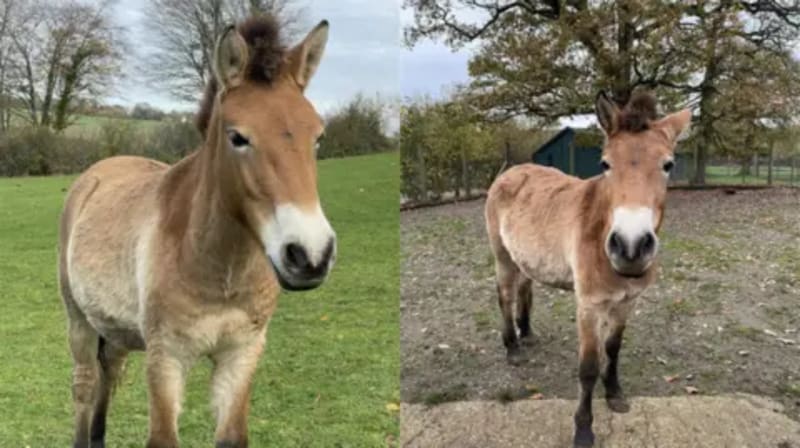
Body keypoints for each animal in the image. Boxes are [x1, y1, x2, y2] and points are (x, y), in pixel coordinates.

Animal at [58, 16, 335, 448]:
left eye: (318, 137)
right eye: (237, 137)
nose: (310, 255)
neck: (218, 268)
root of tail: (97, 173)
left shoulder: (242, 354)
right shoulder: (166, 357)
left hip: (115, 331)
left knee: (109, 379)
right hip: (79, 322)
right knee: (85, 388)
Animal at [484, 91, 691, 447]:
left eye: (668, 165)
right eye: (605, 164)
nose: (631, 247)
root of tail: (511, 171)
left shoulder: (627, 302)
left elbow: (614, 349)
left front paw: (615, 394)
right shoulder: (589, 306)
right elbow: (589, 367)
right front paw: (583, 429)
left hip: (525, 258)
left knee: (525, 288)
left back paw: (527, 333)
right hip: (503, 257)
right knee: (505, 296)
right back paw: (512, 348)